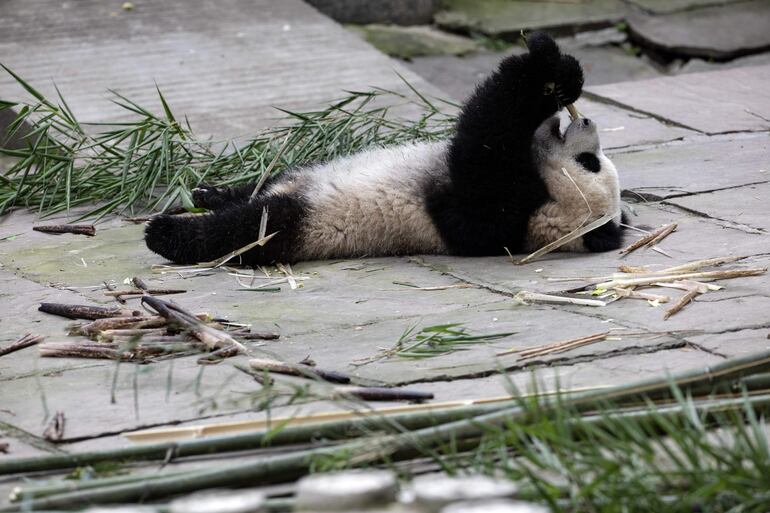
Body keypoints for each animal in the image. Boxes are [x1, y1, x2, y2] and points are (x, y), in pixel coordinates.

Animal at [146, 32, 624, 266]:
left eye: (588, 162)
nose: (587, 122)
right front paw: (560, 71)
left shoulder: (488, 211)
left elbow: (484, 136)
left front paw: (543, 69)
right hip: (298, 179)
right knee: (264, 187)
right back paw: (209, 193)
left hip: (306, 220)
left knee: (251, 228)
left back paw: (170, 234)